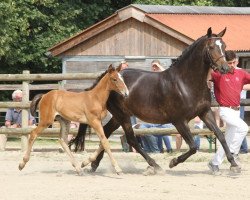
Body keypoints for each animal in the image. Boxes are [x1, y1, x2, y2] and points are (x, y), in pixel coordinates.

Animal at [71, 27, 240, 174]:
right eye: (211, 47)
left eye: (224, 46)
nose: (225, 69)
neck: (186, 83)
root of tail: (105, 78)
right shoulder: (179, 121)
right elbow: (193, 147)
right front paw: (173, 162)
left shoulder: (205, 112)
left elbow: (221, 136)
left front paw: (234, 165)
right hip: (123, 116)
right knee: (131, 140)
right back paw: (154, 165)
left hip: (119, 116)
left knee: (105, 133)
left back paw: (93, 164)